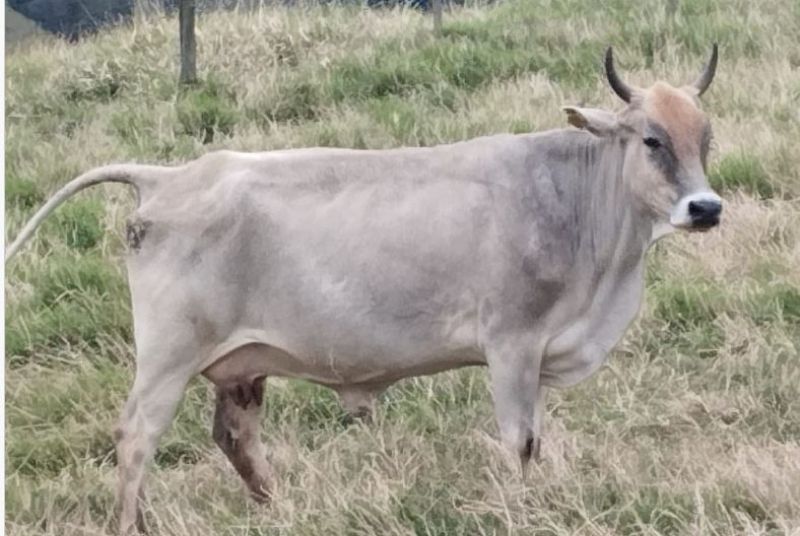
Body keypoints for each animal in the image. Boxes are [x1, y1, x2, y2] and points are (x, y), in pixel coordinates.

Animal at [5, 46, 721, 534]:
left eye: (706, 138)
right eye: (651, 139)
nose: (706, 207)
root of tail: (169, 176)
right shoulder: (511, 342)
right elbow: (519, 440)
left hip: (241, 364)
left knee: (236, 437)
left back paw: (279, 509)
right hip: (167, 356)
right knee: (136, 436)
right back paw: (132, 523)